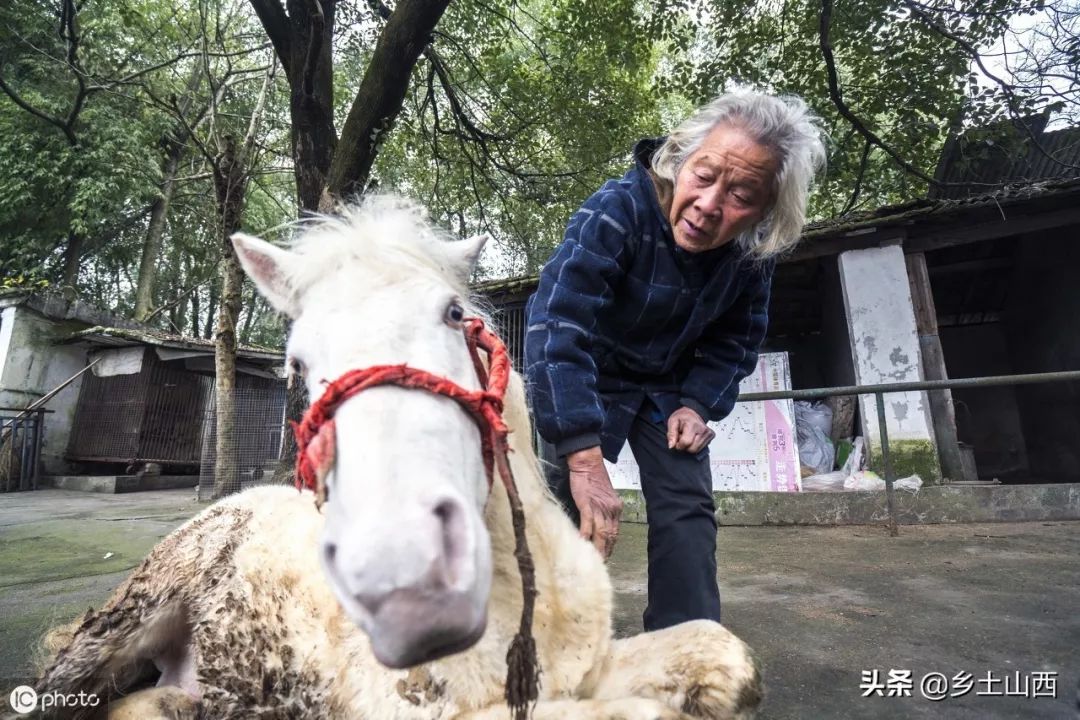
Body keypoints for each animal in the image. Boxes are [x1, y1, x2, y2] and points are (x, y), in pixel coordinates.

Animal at [33, 197, 760, 720]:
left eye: (454, 314)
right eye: (298, 364)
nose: (408, 582)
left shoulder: (590, 666)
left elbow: (725, 657)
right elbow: (647, 713)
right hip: (120, 626)